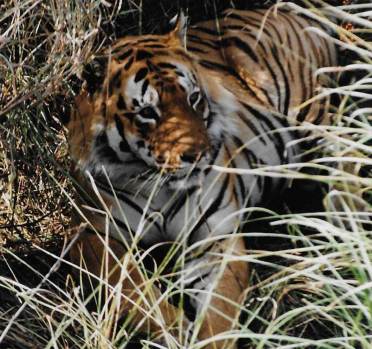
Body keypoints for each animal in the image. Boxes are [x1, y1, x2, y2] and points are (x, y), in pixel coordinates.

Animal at [66, 5, 338, 348]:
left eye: (193, 98)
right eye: (147, 113)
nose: (199, 154)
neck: (158, 186)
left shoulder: (215, 238)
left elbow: (219, 313)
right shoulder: (95, 235)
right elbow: (136, 296)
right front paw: (175, 331)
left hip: (311, 115)